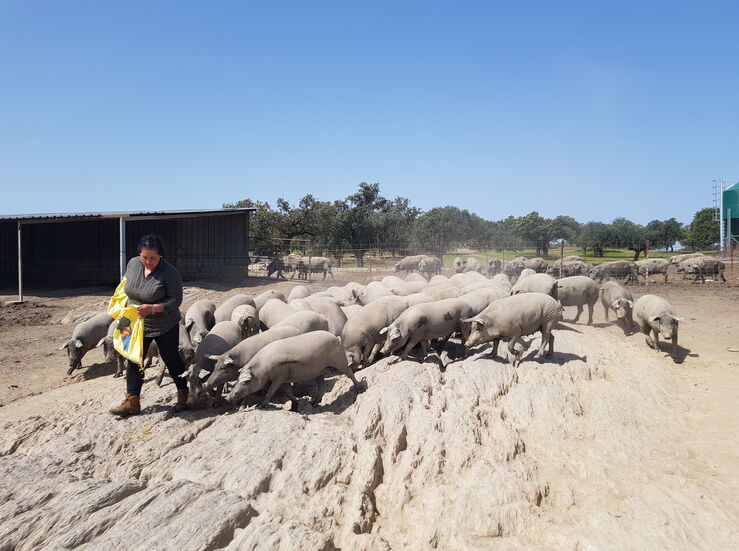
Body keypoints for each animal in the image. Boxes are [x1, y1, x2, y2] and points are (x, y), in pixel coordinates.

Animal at [225, 330, 364, 412]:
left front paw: (260, 406)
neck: (263, 368)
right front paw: (293, 408)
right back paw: (314, 403)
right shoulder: (285, 378)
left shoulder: (279, 376)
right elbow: (289, 392)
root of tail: (337, 338)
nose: (228, 398)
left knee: (349, 372)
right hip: (319, 370)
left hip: (339, 360)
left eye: (245, 381)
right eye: (237, 380)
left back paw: (359, 388)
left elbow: (271, 391)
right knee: (321, 385)